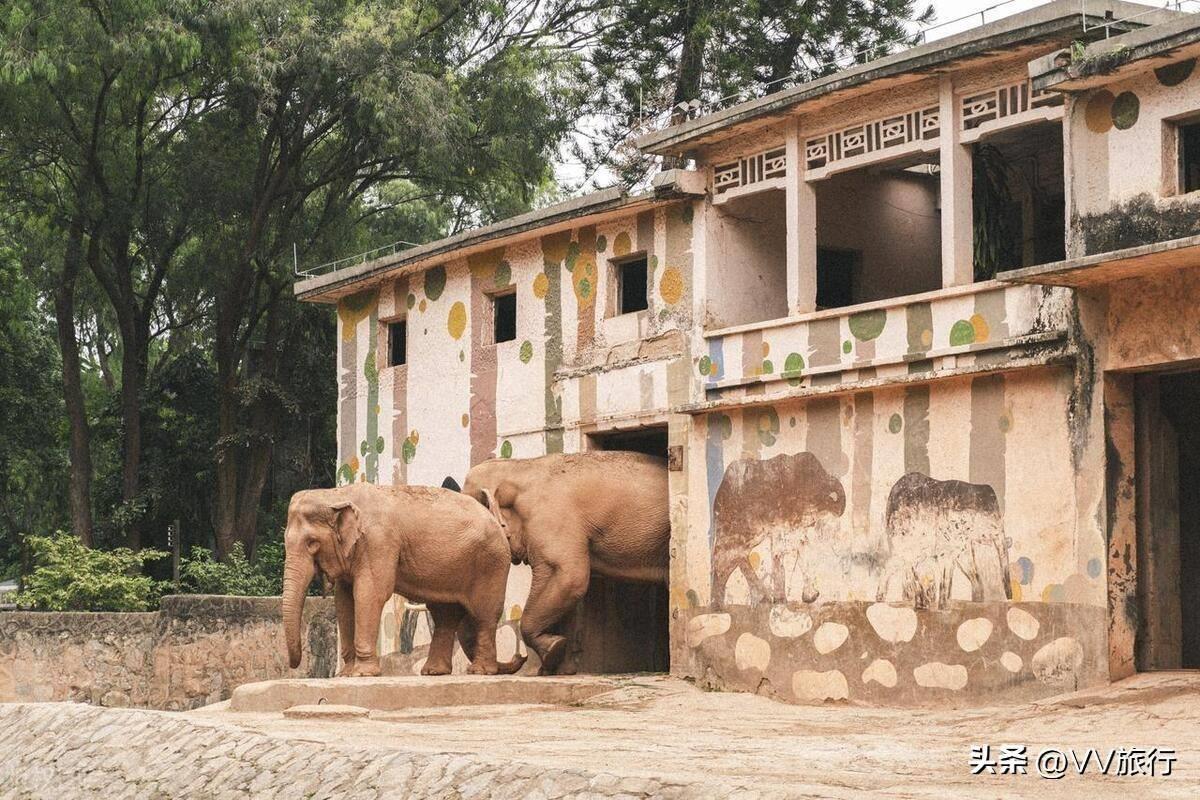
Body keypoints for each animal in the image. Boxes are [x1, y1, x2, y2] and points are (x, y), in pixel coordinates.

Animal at [283, 484, 528, 681]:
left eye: (312, 543)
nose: (294, 664)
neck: (336, 493)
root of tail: (495, 519)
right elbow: (344, 601)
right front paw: (346, 674)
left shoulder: (378, 542)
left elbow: (369, 593)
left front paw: (362, 674)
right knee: (445, 615)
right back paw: (433, 672)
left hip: (491, 563)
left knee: (484, 614)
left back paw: (479, 671)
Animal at [458, 453, 672, 671]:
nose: (520, 657)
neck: (519, 466)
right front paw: (550, 664)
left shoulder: (550, 518)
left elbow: (568, 576)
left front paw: (554, 650)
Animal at [710, 453, 844, 604]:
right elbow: (782, 548)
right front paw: (781, 600)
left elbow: (800, 544)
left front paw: (809, 598)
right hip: (735, 520)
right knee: (729, 552)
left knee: (738, 553)